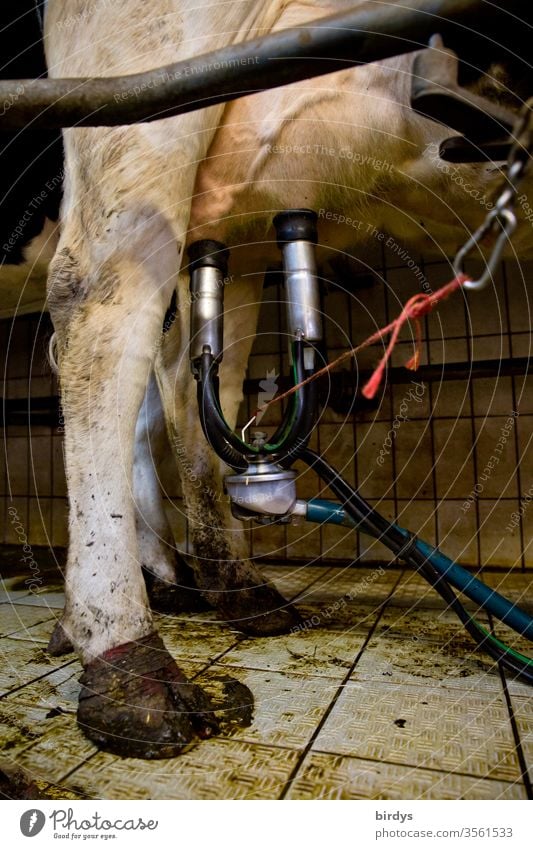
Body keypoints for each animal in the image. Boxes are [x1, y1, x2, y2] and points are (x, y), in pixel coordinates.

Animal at [40, 0, 528, 756]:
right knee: (102, 304)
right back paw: (126, 656)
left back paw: (204, 581)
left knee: (183, 378)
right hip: (143, 85)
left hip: (232, 217)